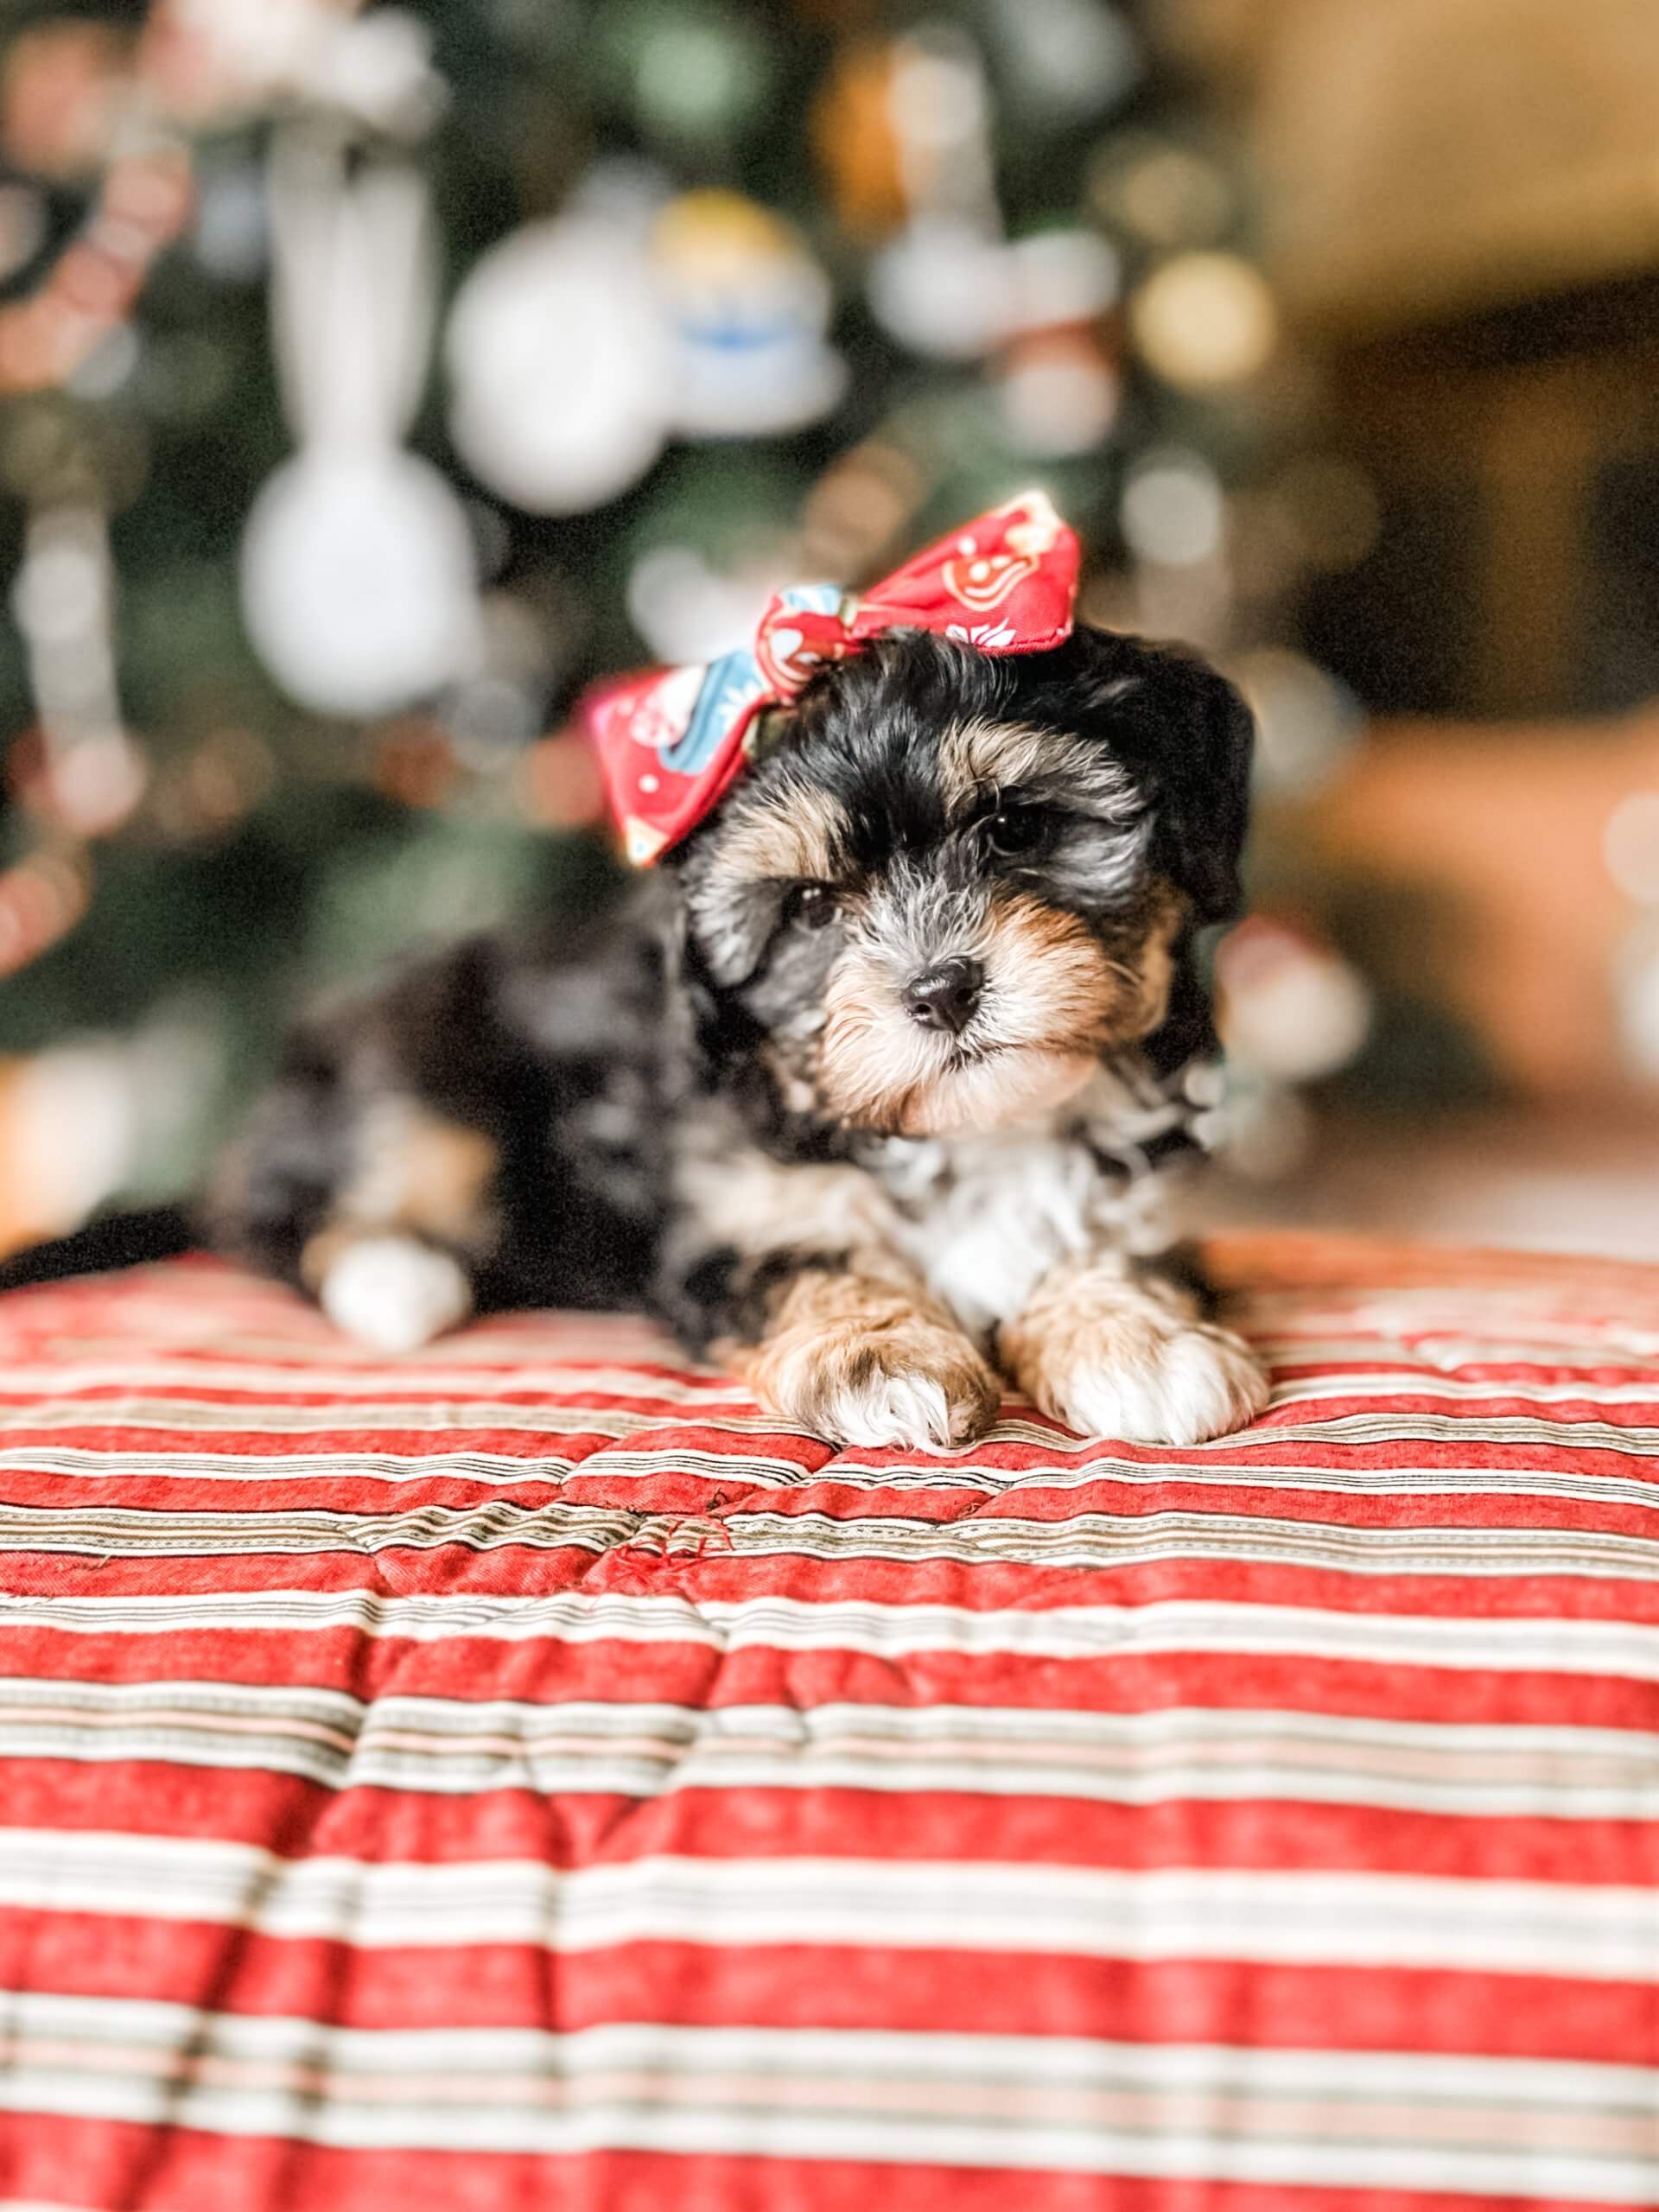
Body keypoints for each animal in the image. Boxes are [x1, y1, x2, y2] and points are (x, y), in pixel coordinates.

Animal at [3, 619, 1274, 1451]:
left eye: (1016, 828)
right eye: (812, 908)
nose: (943, 989)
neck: (974, 1135)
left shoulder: (1132, 1198)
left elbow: (1108, 1248)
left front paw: (1138, 1340)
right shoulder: (724, 1220)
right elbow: (809, 1261)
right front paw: (886, 1357)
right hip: (424, 1079)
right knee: (285, 1216)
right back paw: (396, 1277)